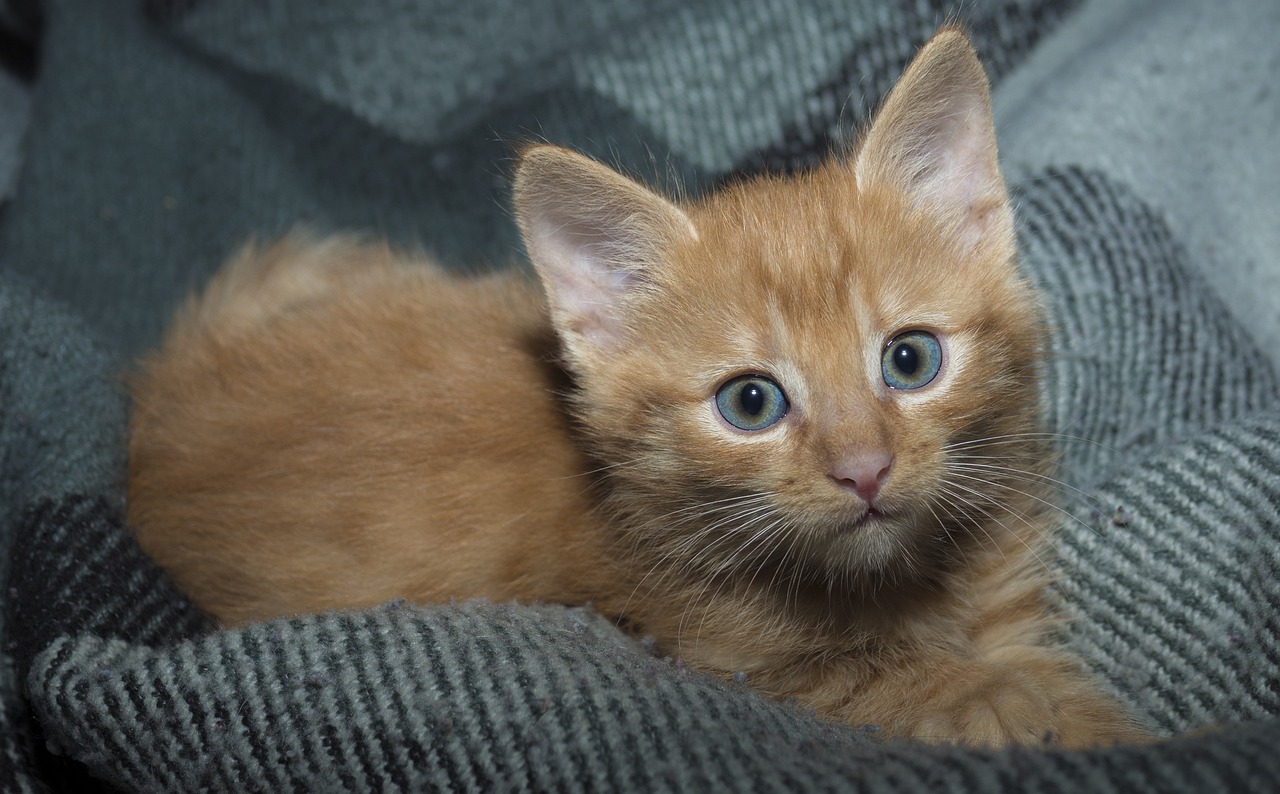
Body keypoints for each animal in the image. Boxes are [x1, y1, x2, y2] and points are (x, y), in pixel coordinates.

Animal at [129, 27, 1146, 747]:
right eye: (750, 403)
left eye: (910, 360)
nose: (864, 470)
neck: (903, 580)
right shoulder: (721, 650)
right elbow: (895, 679)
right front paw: (1042, 712)